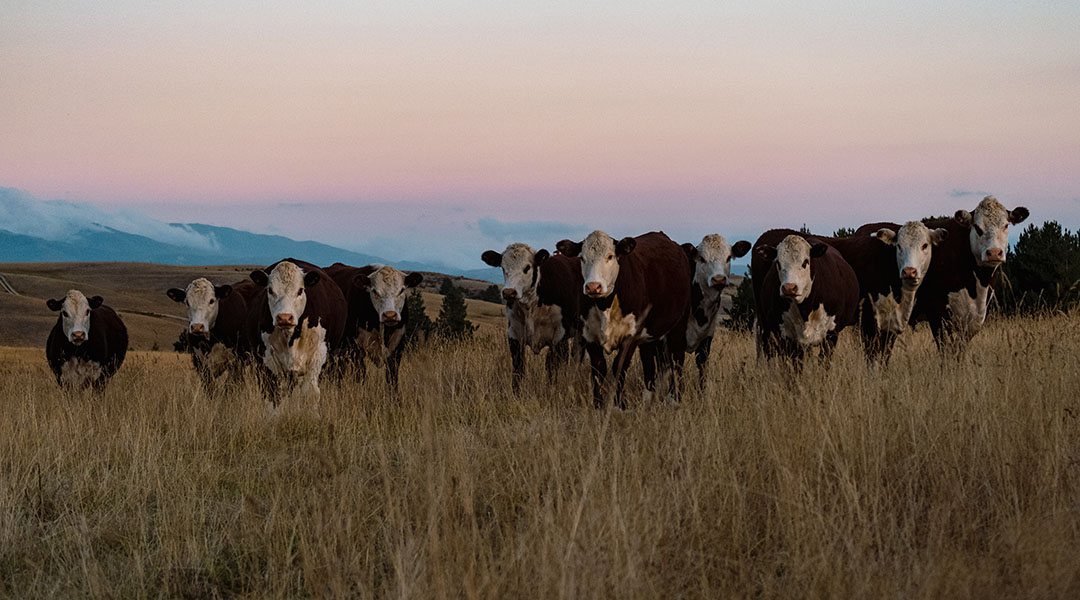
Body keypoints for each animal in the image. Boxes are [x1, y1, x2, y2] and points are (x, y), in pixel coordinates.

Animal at [246, 259, 347, 404]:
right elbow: (272, 395)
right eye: (270, 290)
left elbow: (311, 393)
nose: (284, 317)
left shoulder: (319, 353)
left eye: (300, 290)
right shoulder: (266, 358)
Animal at [323, 262, 422, 392]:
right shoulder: (356, 348)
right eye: (375, 291)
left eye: (401, 290)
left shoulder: (397, 348)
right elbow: (361, 377)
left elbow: (392, 380)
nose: (389, 315)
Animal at [481, 244, 585, 392]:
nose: (509, 293)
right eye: (503, 267)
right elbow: (518, 368)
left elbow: (552, 368)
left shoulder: (559, 337)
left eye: (527, 267)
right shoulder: (514, 335)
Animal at [556, 231, 691, 409]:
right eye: (582, 258)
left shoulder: (631, 336)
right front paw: (598, 404)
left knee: (677, 360)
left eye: (610, 256)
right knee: (650, 363)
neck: (605, 306)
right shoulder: (589, 334)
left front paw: (620, 404)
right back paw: (648, 398)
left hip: (678, 326)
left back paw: (674, 398)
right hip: (650, 336)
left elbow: (619, 367)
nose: (593, 286)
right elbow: (599, 368)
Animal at [751, 233, 859, 367]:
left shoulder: (831, 334)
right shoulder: (787, 337)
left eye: (805, 262)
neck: (805, 309)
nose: (789, 288)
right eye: (778, 263)